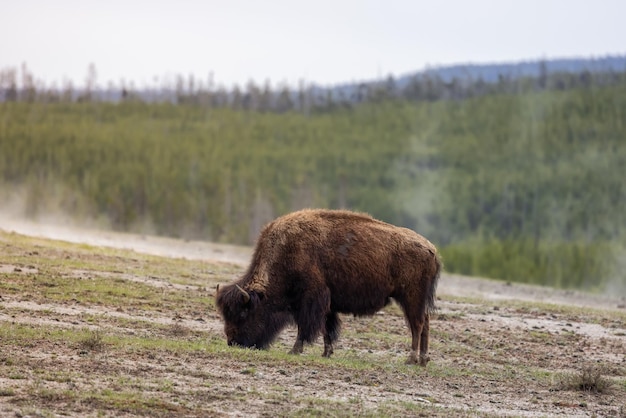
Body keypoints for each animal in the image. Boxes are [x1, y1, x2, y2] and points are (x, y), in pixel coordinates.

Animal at [217, 207, 442, 364]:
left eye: (244, 313)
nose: (233, 342)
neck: (286, 251)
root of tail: (431, 249)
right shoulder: (328, 303)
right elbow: (327, 328)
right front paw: (326, 353)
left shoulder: (311, 300)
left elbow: (306, 327)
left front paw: (295, 350)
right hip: (416, 300)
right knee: (425, 323)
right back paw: (423, 360)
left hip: (411, 297)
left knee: (417, 325)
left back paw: (411, 359)